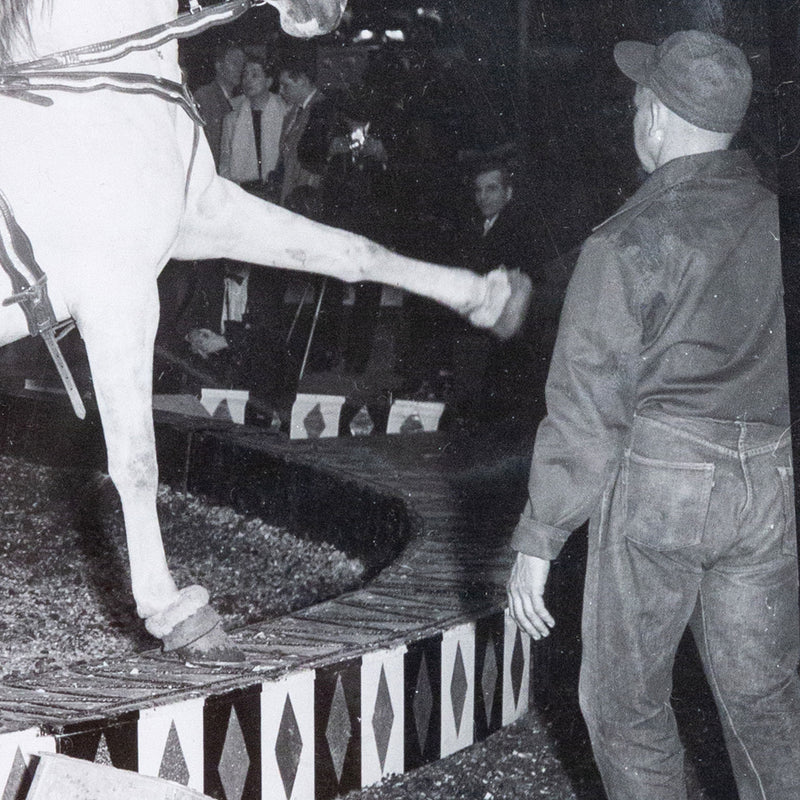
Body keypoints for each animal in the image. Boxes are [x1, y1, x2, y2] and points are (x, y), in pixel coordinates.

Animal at [0, 0, 528, 664]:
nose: (327, 14)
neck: (87, 91)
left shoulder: (202, 216)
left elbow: (350, 249)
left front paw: (494, 299)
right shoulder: (118, 297)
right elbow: (137, 458)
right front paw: (174, 613)